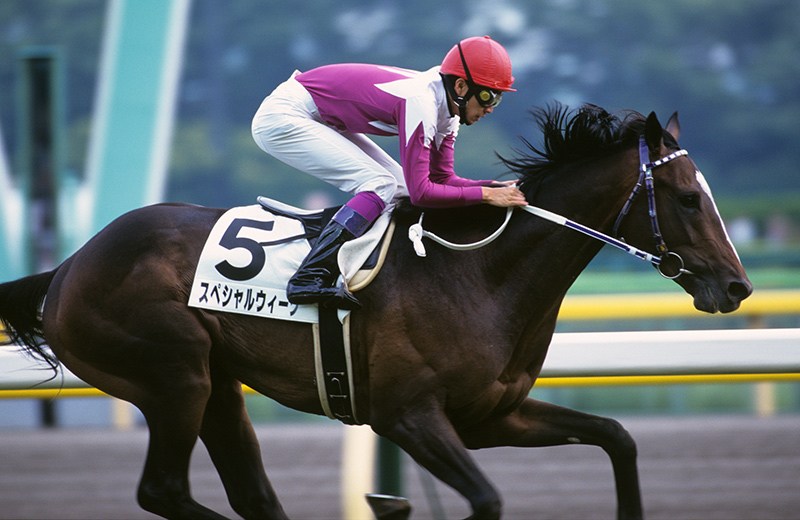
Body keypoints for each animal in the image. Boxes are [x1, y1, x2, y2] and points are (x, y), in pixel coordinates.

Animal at [0, 103, 751, 520]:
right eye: (689, 198)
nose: (737, 288)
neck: (477, 274)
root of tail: (67, 268)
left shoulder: (490, 417)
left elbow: (617, 437)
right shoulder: (407, 415)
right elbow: (487, 499)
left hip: (217, 387)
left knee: (251, 496)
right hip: (172, 377)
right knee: (161, 491)